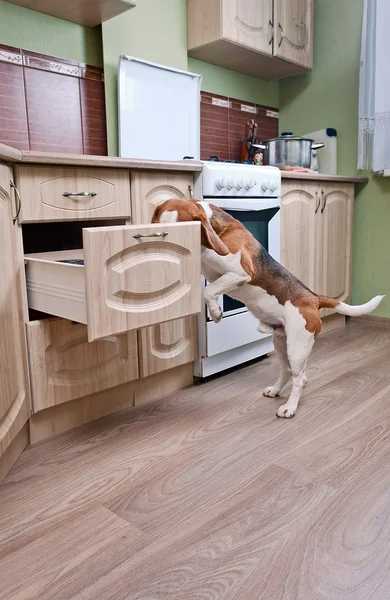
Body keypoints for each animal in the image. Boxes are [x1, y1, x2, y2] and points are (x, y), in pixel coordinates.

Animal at [152, 199, 384, 420]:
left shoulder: (240, 273)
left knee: (300, 379)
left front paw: (216, 312)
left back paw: (289, 408)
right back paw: (275, 391)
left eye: (184, 228)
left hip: (297, 348)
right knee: (287, 371)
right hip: (281, 343)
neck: (217, 229)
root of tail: (314, 298)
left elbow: (208, 291)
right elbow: (208, 288)